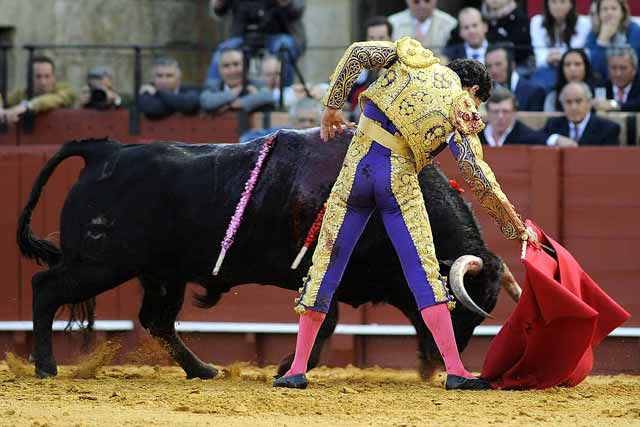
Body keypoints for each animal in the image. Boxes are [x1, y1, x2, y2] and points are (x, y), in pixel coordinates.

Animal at [18, 129, 504, 380]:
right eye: (461, 309)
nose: (443, 363)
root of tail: (105, 150)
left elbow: (325, 320)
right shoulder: (321, 270)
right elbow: (325, 320)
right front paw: (289, 367)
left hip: (161, 274)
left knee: (156, 320)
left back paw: (203, 370)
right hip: (101, 264)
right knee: (44, 288)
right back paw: (45, 367)